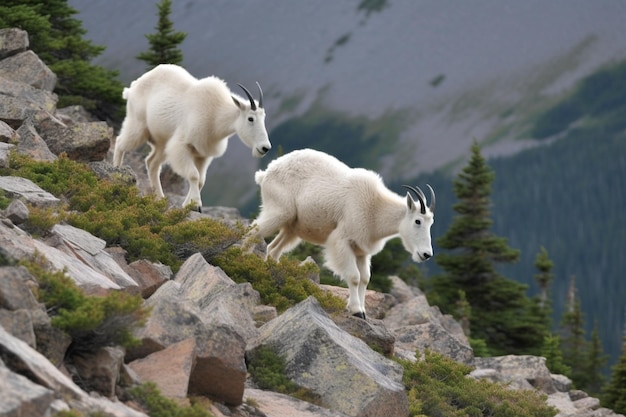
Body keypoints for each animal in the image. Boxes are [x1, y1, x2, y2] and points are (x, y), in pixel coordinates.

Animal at [113, 63, 270, 210]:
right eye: (250, 118)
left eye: (264, 118)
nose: (265, 148)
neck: (215, 114)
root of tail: (132, 87)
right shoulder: (182, 146)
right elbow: (194, 175)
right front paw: (196, 205)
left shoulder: (203, 154)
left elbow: (201, 180)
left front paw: (188, 205)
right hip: (138, 126)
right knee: (120, 142)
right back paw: (117, 173)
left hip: (162, 143)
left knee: (152, 163)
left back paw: (159, 198)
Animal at [245, 150, 434, 318]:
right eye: (418, 221)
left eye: (431, 223)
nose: (426, 254)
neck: (375, 208)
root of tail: (266, 173)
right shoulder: (343, 241)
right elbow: (354, 277)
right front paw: (356, 311)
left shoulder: (362, 250)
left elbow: (365, 278)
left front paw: (363, 310)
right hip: (278, 212)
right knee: (252, 232)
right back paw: (244, 261)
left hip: (292, 228)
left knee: (273, 249)